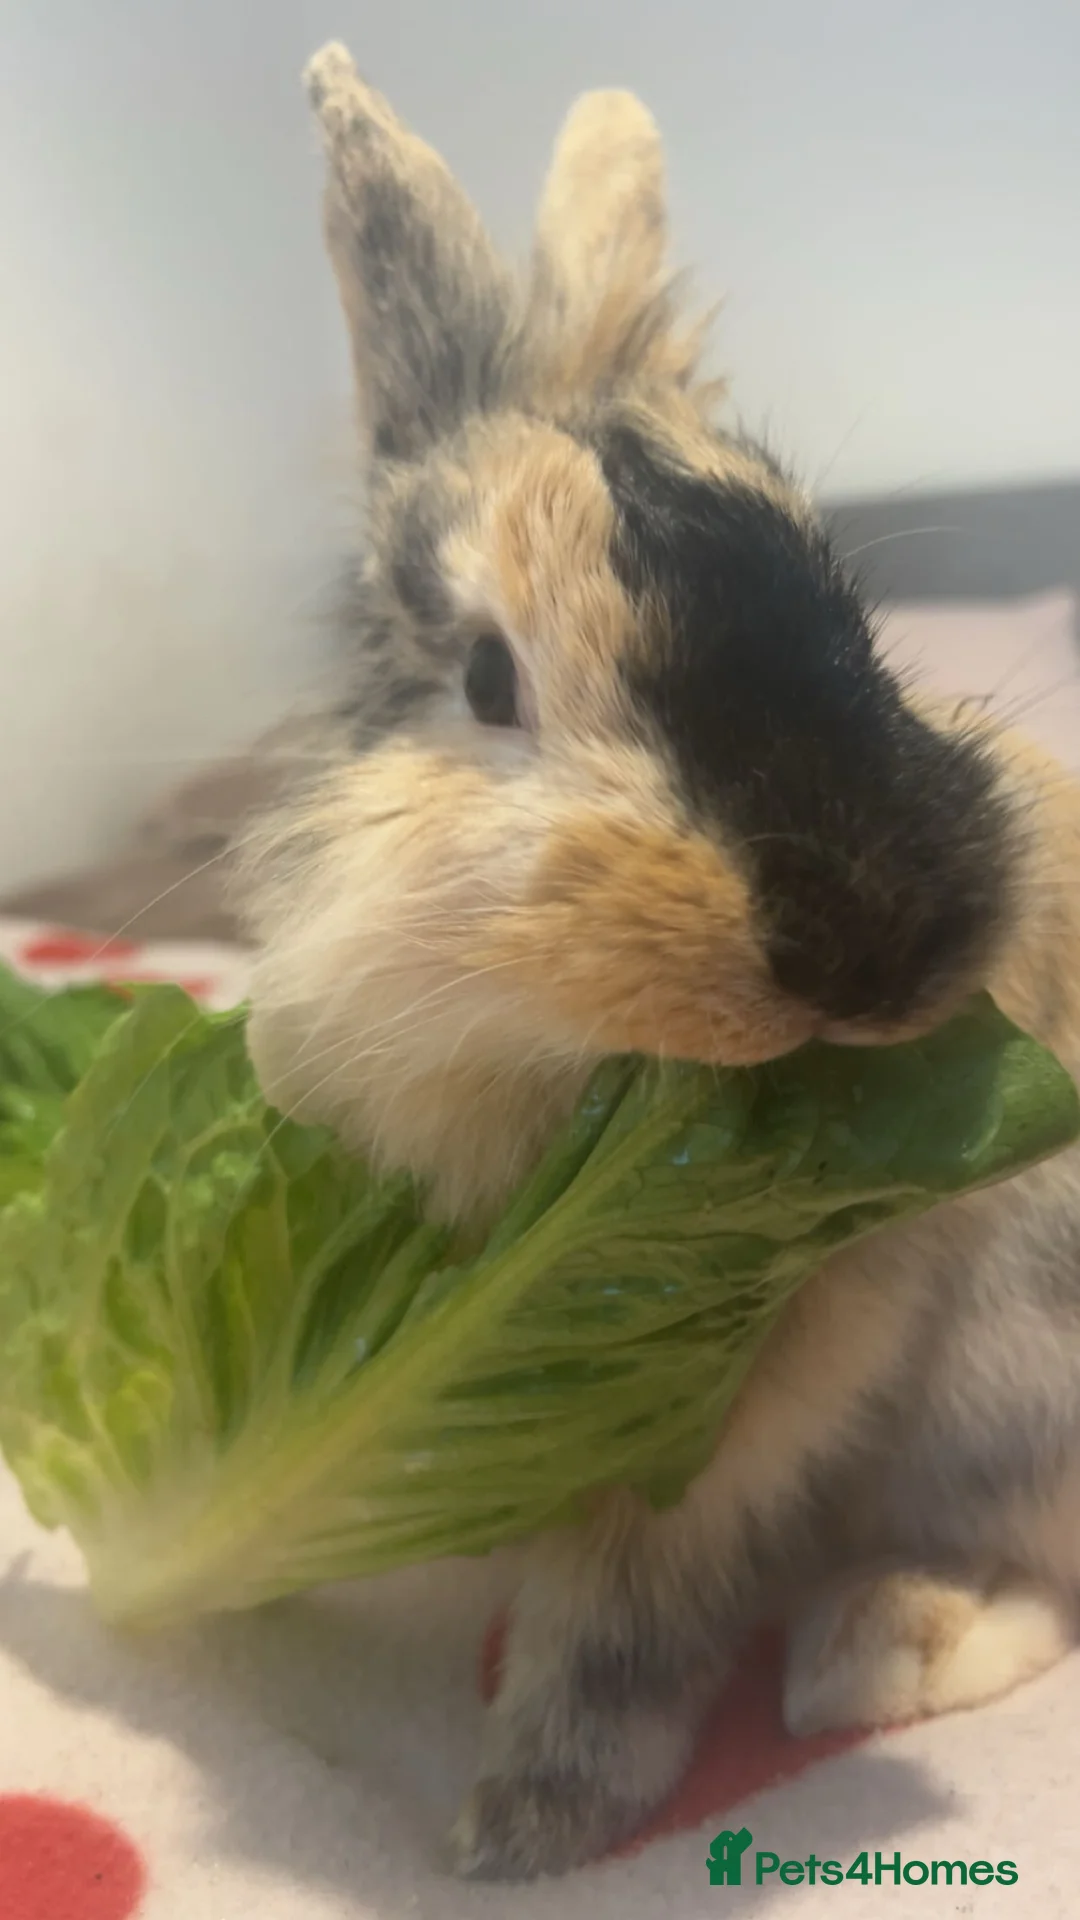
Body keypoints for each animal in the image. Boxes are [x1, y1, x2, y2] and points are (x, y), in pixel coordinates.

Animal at [234, 41, 1080, 1880]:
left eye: (847, 607)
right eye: (488, 679)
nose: (876, 936)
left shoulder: (741, 1416)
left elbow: (624, 1613)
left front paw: (523, 1826)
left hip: (1013, 1385)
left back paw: (870, 1652)